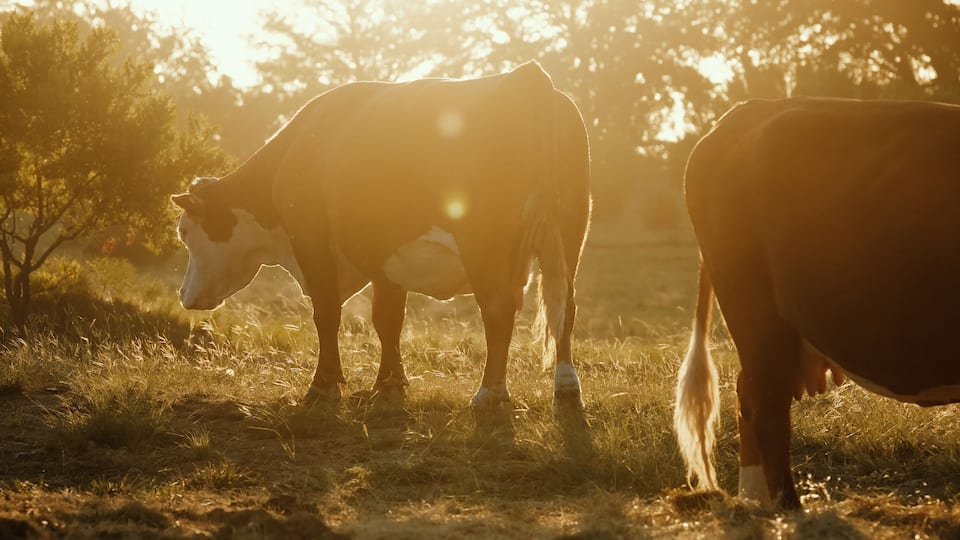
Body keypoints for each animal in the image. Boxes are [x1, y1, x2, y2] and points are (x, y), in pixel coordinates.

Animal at [171, 61, 591, 411]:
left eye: (185, 232)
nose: (183, 295)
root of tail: (526, 76)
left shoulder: (311, 240)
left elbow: (326, 314)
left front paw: (323, 385)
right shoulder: (384, 255)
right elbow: (387, 319)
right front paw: (389, 384)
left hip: (485, 244)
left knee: (499, 309)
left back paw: (490, 392)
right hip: (569, 233)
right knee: (565, 305)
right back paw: (566, 386)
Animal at [674, 96, 960, 509]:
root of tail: (746, 110)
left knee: (749, 394)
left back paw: (755, 500)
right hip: (753, 309)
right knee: (765, 406)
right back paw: (788, 509)